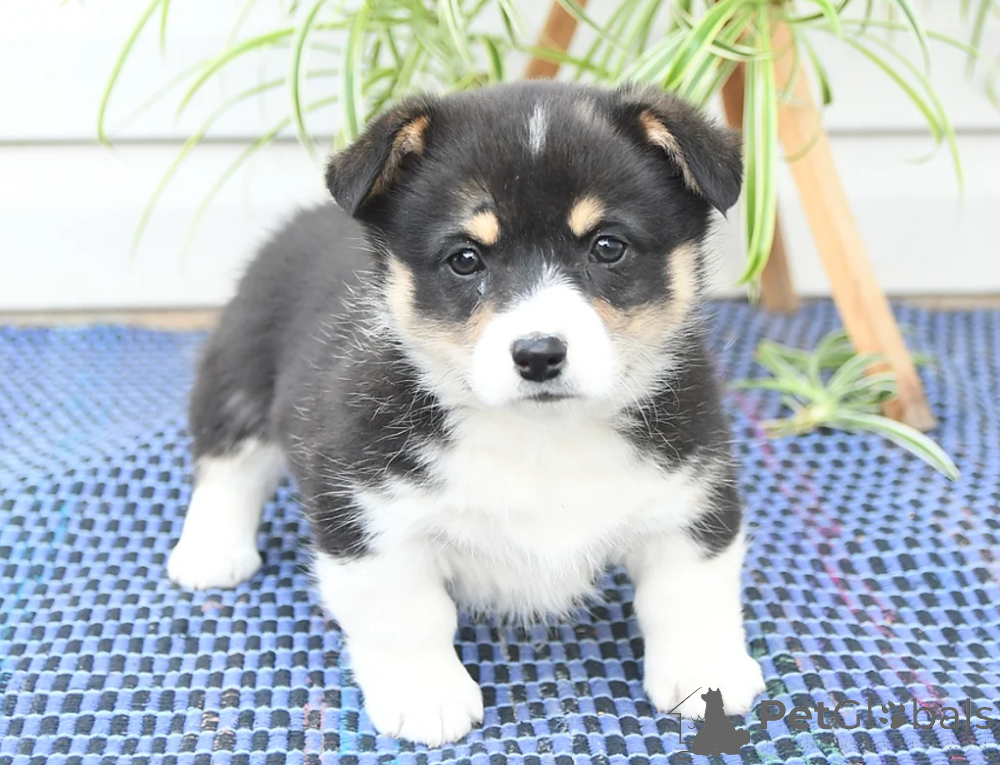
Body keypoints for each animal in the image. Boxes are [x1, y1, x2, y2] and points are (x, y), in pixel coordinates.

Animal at [167, 81, 765, 745]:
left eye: (608, 246)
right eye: (465, 259)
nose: (539, 354)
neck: (542, 438)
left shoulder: (692, 495)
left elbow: (690, 596)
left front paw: (707, 676)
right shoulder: (369, 515)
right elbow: (408, 615)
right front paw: (427, 697)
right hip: (239, 376)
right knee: (228, 468)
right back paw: (211, 553)